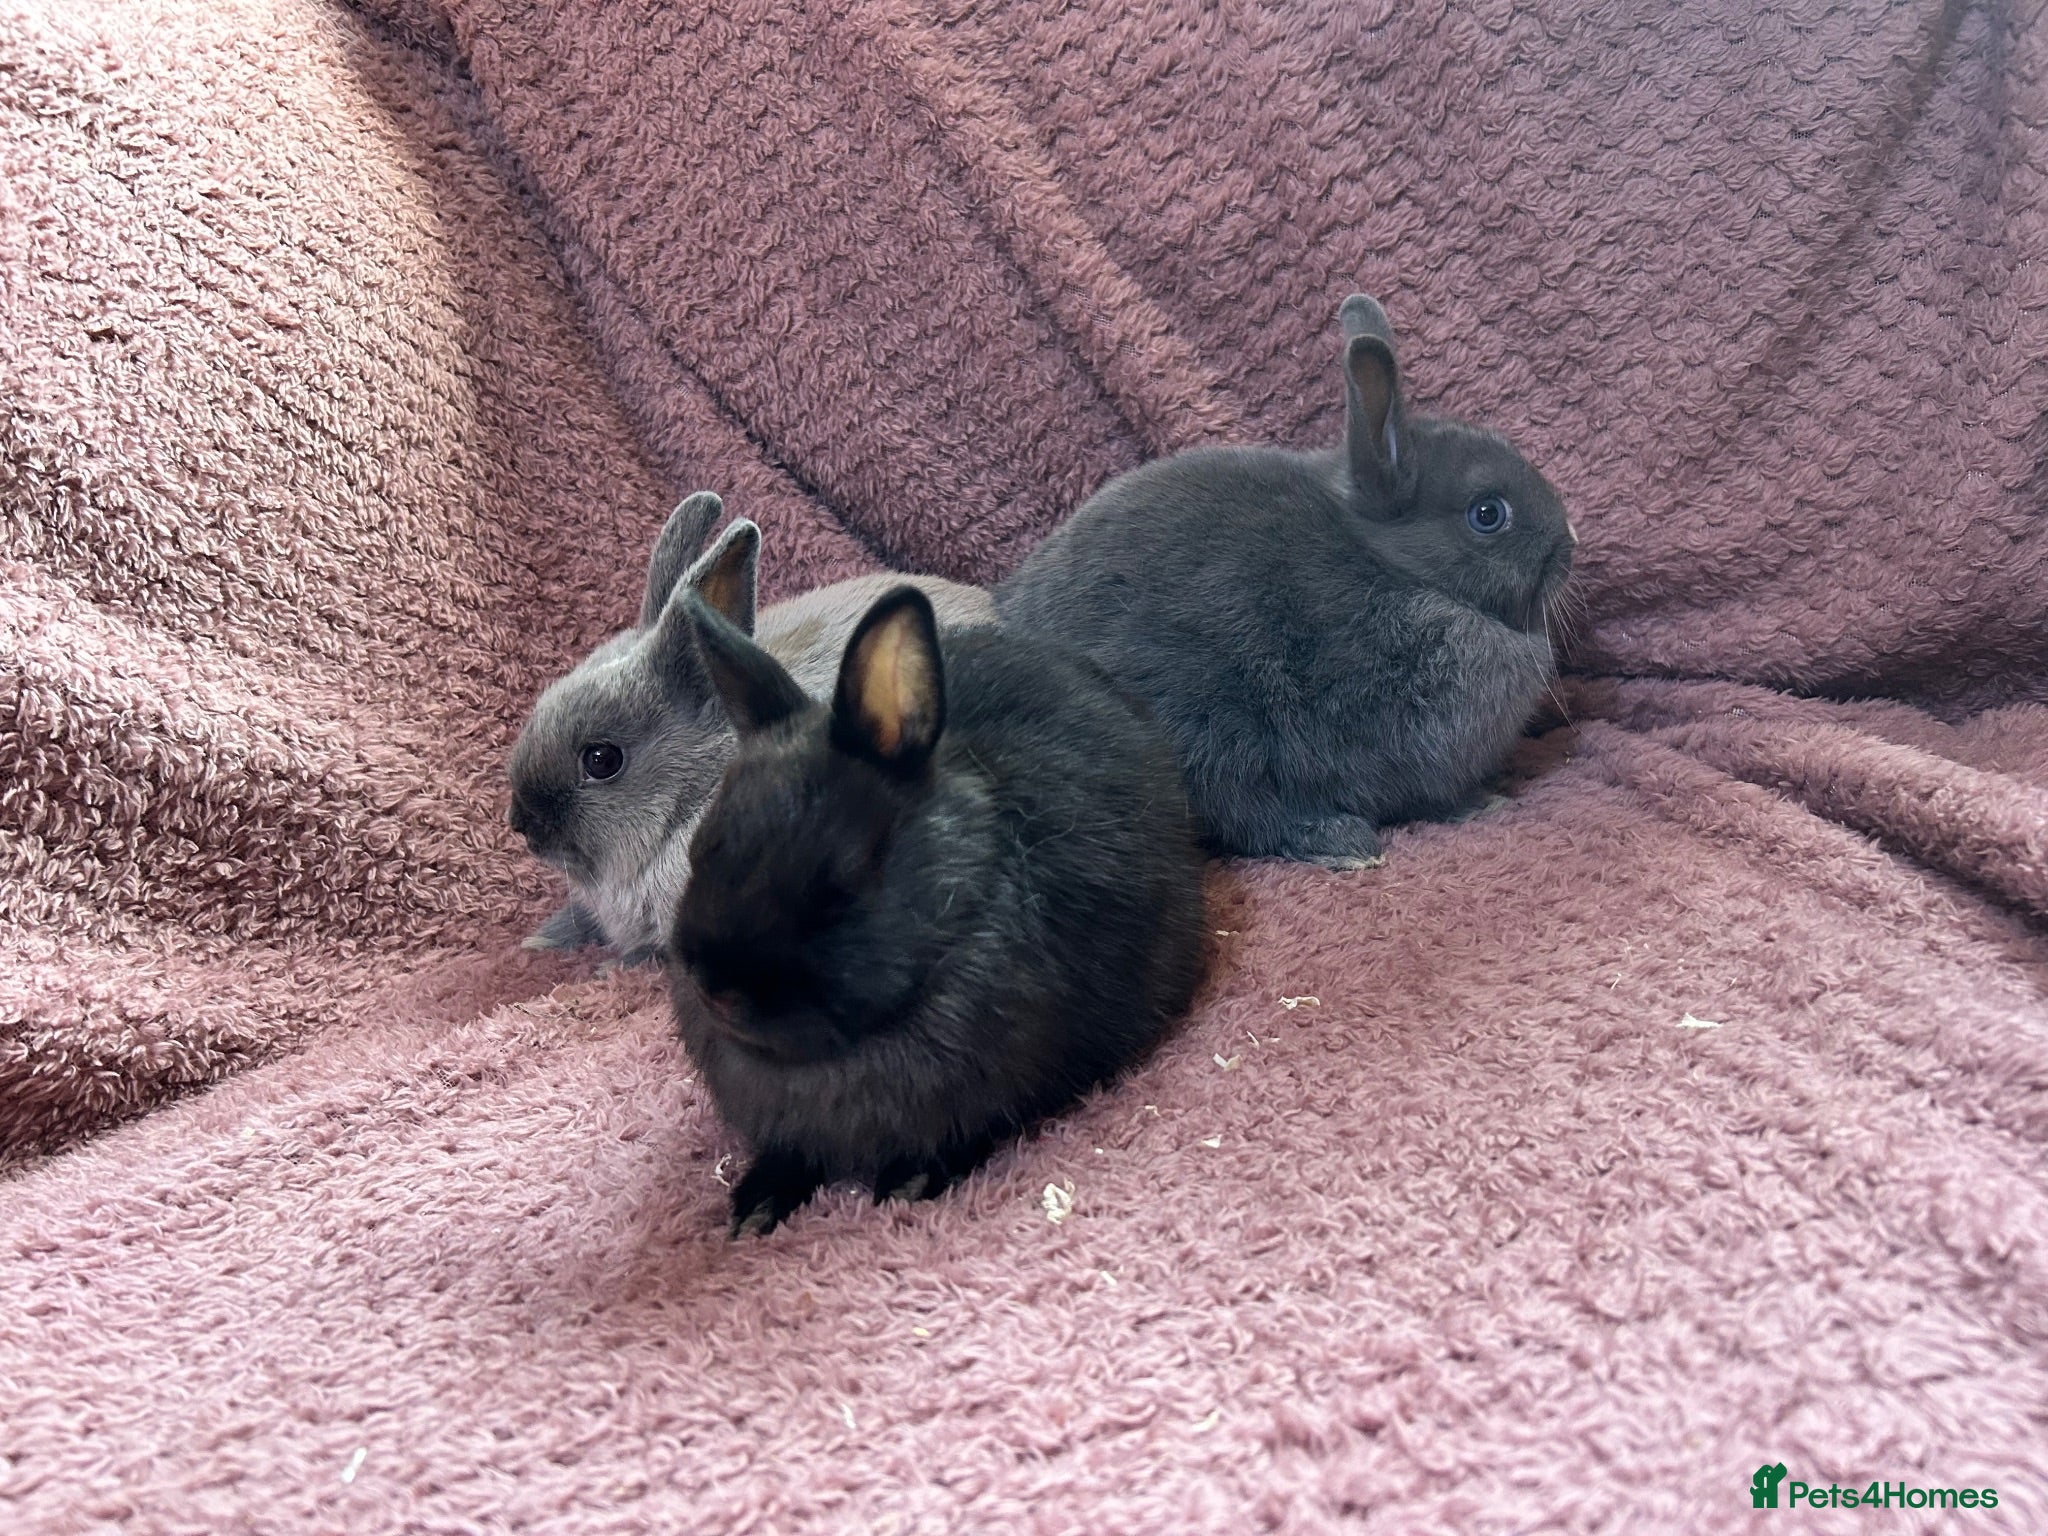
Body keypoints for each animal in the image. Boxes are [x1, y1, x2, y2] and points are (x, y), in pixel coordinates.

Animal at [997, 293, 1576, 870]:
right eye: (1488, 513)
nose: (1571, 541)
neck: (1397, 569)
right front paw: (1473, 803)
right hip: (1201, 717)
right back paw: (1344, 842)